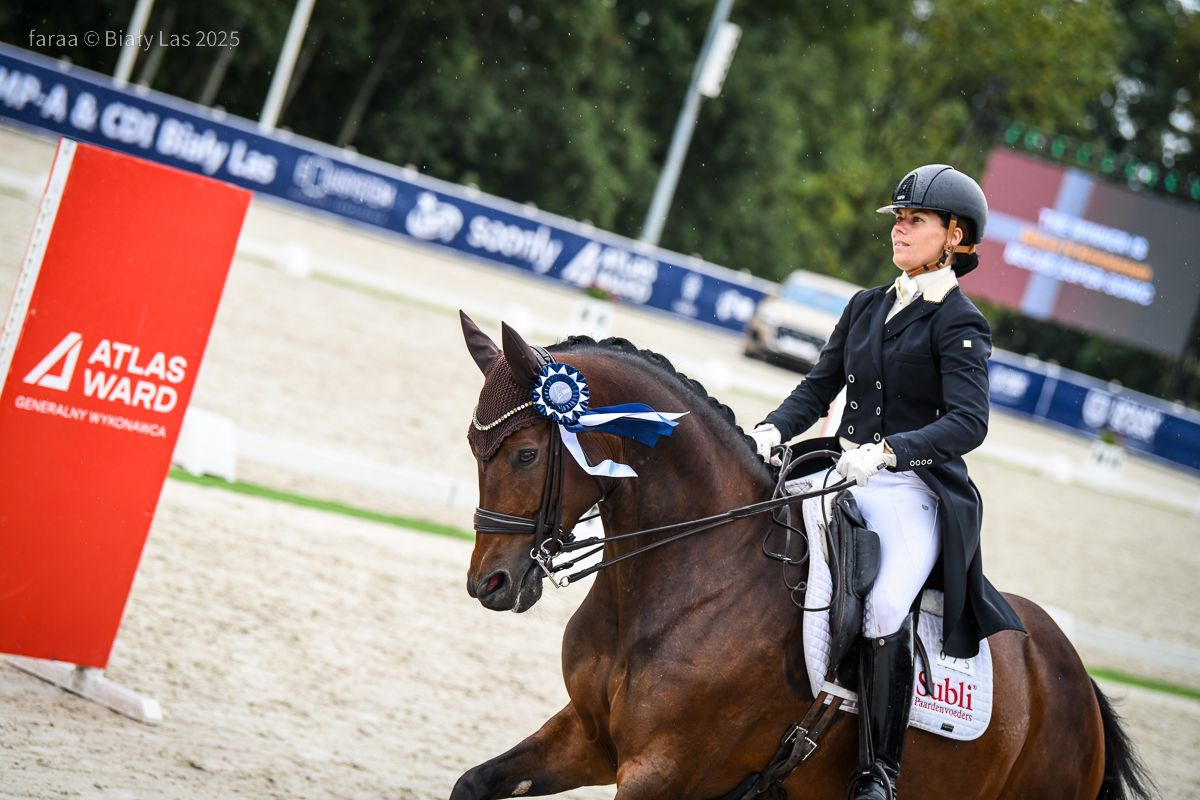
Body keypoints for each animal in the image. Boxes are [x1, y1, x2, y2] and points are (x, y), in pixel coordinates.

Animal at [449, 314, 1152, 800]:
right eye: (475, 450)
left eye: (526, 455)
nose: (490, 583)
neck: (692, 579)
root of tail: (1074, 678)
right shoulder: (589, 736)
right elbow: (474, 783)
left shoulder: (662, 771)